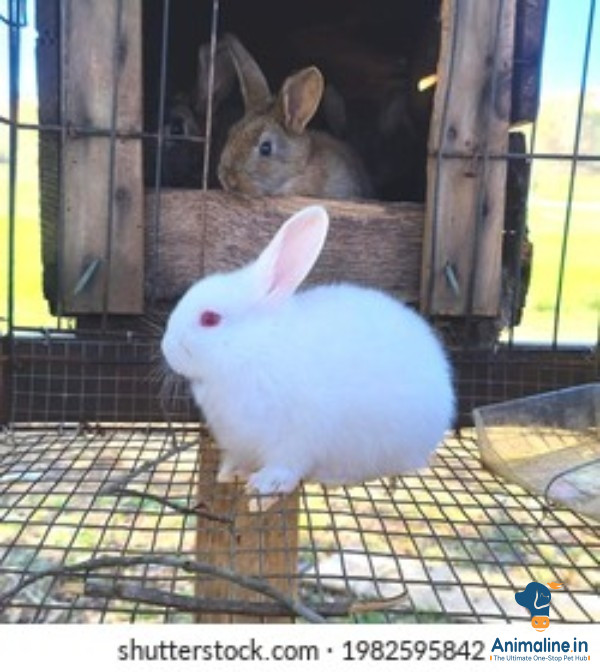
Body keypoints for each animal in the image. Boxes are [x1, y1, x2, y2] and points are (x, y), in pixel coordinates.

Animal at [161, 205, 455, 511]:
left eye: (210, 319)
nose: (166, 347)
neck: (254, 348)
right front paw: (228, 472)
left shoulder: (294, 440)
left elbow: (285, 466)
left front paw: (263, 488)